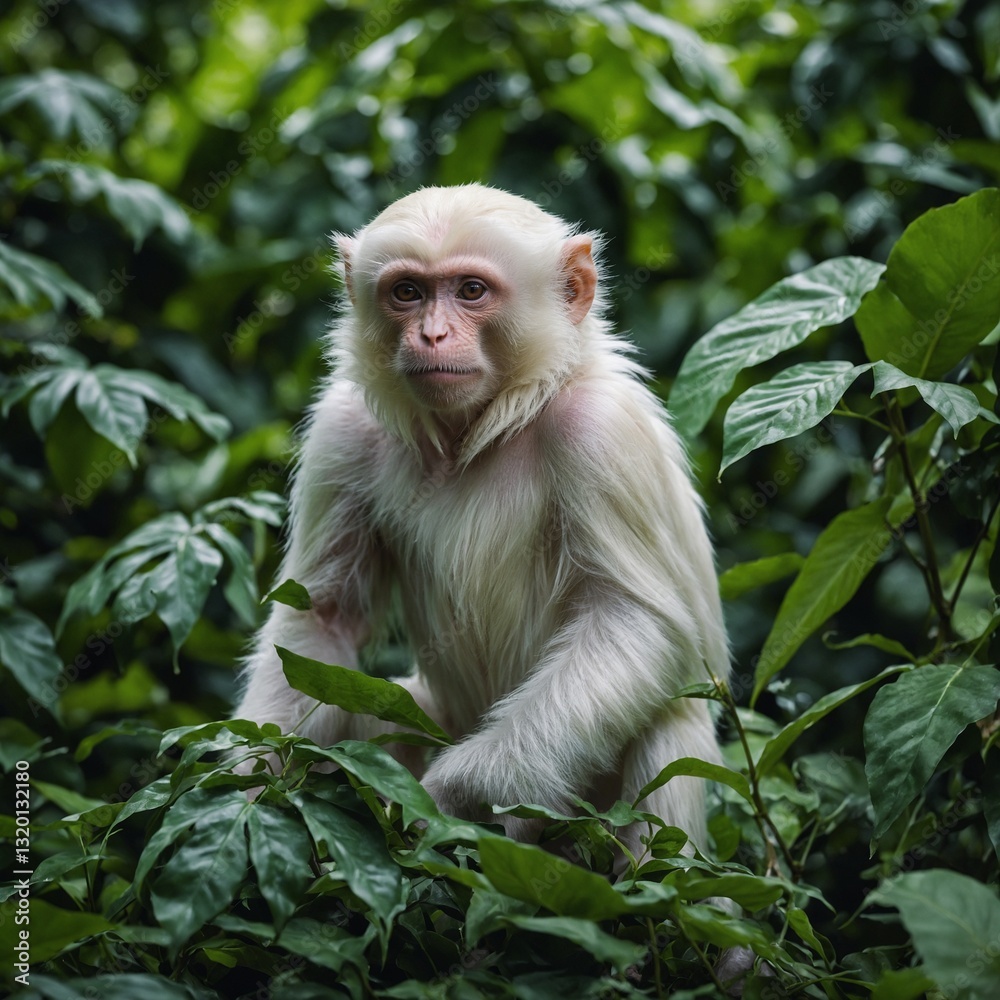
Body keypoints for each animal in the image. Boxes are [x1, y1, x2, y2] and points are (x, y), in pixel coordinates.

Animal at [234, 183, 729, 858]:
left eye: (471, 290)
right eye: (408, 292)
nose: (433, 335)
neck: (477, 431)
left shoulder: (601, 431)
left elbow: (635, 623)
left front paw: (453, 799)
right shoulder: (342, 430)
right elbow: (323, 619)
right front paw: (250, 783)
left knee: (670, 727)